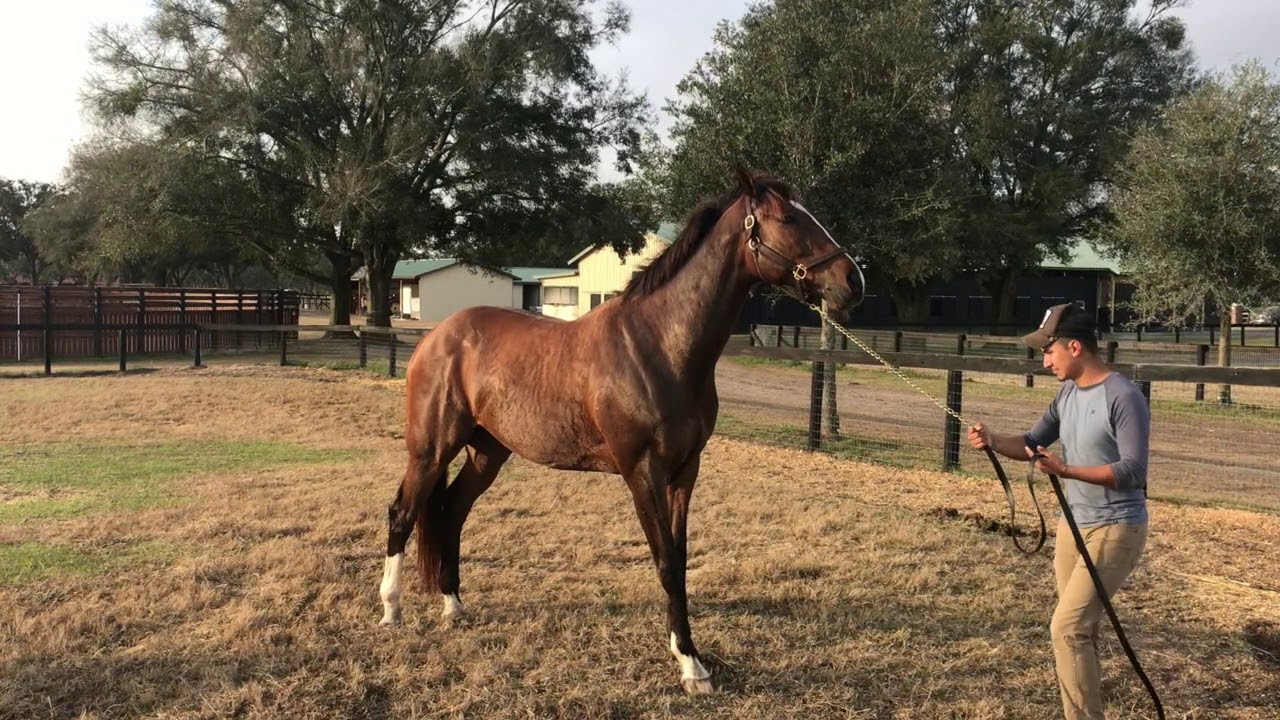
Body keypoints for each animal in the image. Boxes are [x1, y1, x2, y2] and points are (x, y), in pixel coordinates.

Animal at [376, 167, 865, 694]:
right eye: (790, 218)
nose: (853, 281)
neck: (660, 346)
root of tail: (436, 336)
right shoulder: (642, 473)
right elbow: (666, 562)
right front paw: (690, 664)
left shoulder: (685, 472)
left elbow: (680, 558)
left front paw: (687, 651)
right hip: (431, 448)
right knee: (403, 512)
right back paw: (391, 610)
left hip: (488, 452)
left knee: (451, 512)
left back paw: (453, 605)